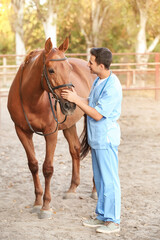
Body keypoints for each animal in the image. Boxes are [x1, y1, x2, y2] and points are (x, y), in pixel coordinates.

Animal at [7, 36, 96, 218]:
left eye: (69, 68)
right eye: (51, 70)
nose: (70, 104)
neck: (32, 100)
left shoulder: (51, 133)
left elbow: (47, 168)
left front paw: (46, 206)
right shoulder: (22, 131)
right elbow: (33, 165)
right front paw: (37, 202)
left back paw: (95, 191)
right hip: (69, 125)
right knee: (75, 150)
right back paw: (72, 189)